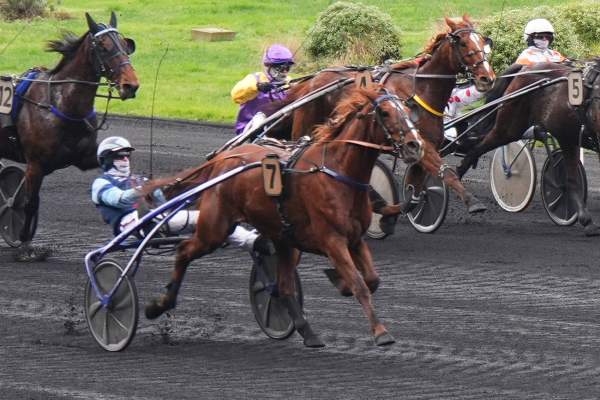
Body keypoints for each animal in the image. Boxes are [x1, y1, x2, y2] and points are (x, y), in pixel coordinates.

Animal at [0, 11, 138, 260]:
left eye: (126, 45)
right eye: (103, 46)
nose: (130, 85)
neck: (60, 102)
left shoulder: (85, 157)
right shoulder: (35, 164)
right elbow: (29, 203)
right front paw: (26, 246)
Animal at [144, 86, 426, 346]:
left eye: (407, 109)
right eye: (385, 112)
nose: (416, 146)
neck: (337, 173)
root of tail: (223, 158)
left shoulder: (355, 240)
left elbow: (372, 280)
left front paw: (340, 283)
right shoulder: (332, 241)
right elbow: (360, 284)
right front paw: (381, 333)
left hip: (283, 238)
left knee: (283, 284)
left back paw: (307, 332)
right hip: (215, 228)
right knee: (184, 251)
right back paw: (157, 305)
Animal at [272, 15, 496, 217]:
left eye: (482, 41)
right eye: (463, 43)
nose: (488, 78)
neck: (420, 89)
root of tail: (311, 81)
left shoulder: (421, 144)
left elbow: (416, 190)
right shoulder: (421, 142)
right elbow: (446, 171)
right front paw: (473, 202)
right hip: (304, 127)